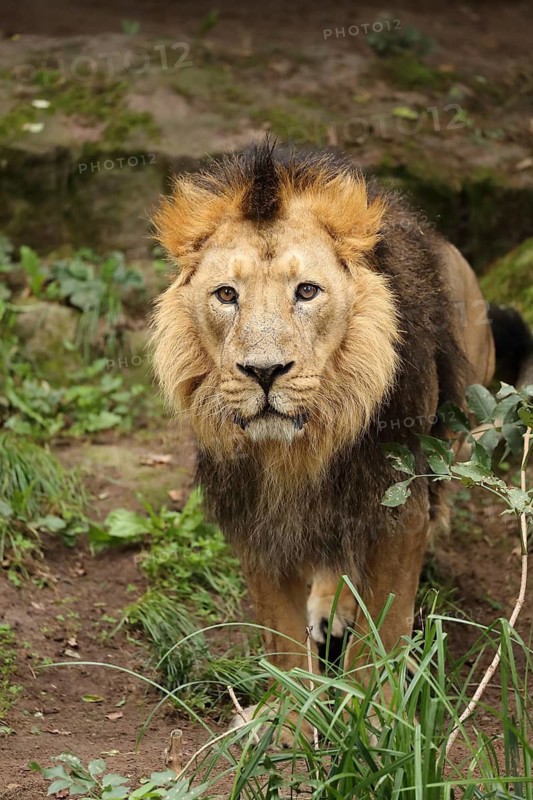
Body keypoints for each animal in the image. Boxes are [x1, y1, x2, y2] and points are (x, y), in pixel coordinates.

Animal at [151, 140, 526, 730]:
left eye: (307, 291)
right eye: (226, 295)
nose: (263, 371)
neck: (301, 448)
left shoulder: (398, 503)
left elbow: (384, 627)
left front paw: (372, 717)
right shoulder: (254, 515)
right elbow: (278, 633)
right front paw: (285, 722)